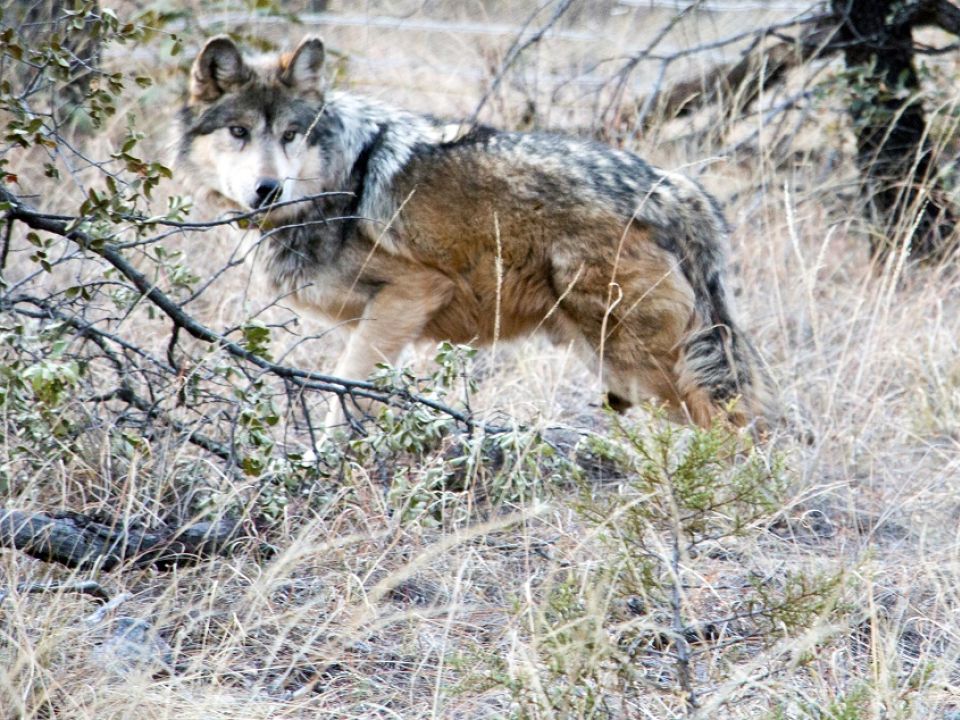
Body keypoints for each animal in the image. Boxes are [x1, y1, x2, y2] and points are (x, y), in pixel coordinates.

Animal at [178, 33, 780, 430]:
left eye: (290, 135)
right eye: (239, 132)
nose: (268, 189)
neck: (335, 183)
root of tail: (678, 189)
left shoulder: (411, 293)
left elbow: (345, 398)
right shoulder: (379, 320)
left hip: (638, 363)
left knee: (739, 426)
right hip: (623, 369)